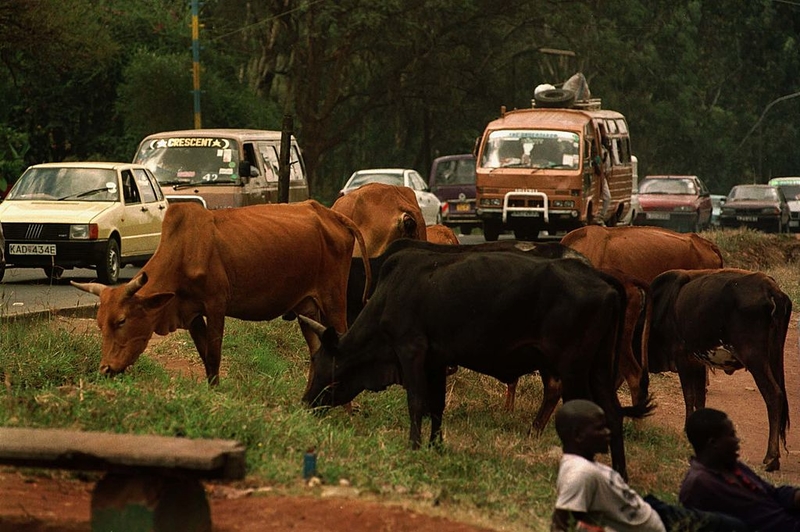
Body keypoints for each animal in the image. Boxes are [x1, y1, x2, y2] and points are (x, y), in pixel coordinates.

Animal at [70, 200, 370, 382]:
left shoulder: (216, 306)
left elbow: (214, 355)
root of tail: (329, 212)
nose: (106, 368)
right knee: (318, 350)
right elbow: (206, 358)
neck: (184, 250)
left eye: (122, 321)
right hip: (306, 306)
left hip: (333, 300)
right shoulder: (190, 314)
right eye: (99, 324)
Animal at [300, 247, 648, 480]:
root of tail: (601, 277)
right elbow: (436, 406)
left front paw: (413, 446)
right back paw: (620, 475)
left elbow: (416, 402)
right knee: (613, 415)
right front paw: (435, 446)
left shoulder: (410, 350)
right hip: (599, 368)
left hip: (574, 369)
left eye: (320, 363)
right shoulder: (437, 361)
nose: (306, 403)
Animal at [648, 268, 792, 472]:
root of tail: (771, 289)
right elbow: (699, 398)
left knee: (774, 395)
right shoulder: (698, 362)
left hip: (755, 358)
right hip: (774, 356)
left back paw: (771, 458)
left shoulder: (683, 358)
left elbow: (689, 397)